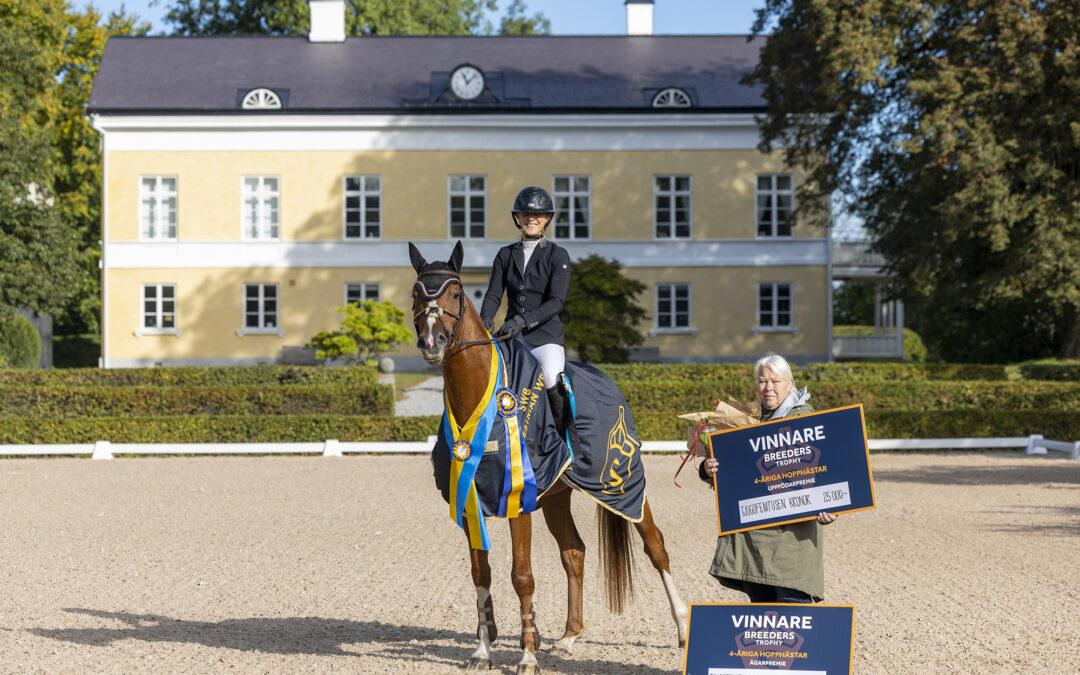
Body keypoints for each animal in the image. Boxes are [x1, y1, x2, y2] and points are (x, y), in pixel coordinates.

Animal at [408, 239, 686, 669]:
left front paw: (527, 656)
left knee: (655, 546)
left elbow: (521, 576)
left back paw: (683, 629)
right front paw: (483, 649)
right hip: (557, 496)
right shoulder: (471, 502)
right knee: (574, 553)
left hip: (623, 485)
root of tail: (606, 379)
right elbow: (481, 574)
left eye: (455, 293)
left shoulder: (517, 502)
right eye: (416, 294)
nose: (432, 342)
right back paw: (569, 638)